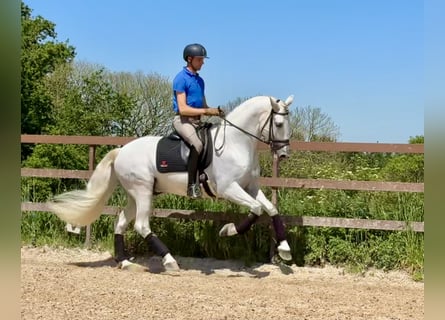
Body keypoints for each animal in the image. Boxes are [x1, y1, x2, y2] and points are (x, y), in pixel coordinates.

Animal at [48, 94, 294, 272]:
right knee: (141, 225)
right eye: (279, 123)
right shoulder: (229, 189)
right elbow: (256, 209)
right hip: (142, 191)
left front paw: (284, 249)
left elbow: (271, 209)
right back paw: (169, 261)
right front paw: (228, 230)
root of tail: (121, 151)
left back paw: (125, 262)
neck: (235, 144)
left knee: (121, 222)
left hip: (135, 195)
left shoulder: (250, 187)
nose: (283, 155)